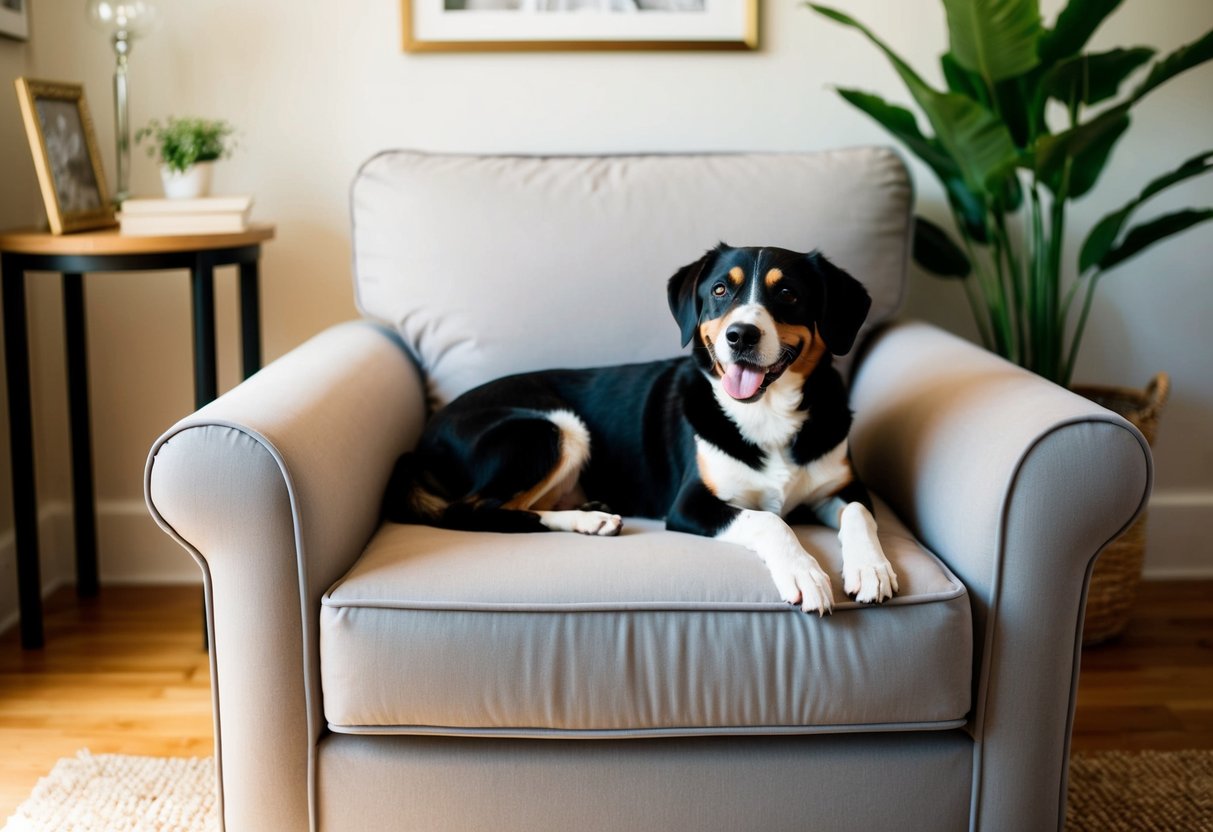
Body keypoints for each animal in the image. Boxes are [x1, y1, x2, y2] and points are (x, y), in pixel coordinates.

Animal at [383, 244, 897, 616]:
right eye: (719, 291)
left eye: (787, 293)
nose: (741, 336)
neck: (765, 414)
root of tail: (422, 441)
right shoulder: (690, 504)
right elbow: (769, 519)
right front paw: (804, 572)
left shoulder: (843, 484)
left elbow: (859, 514)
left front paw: (871, 567)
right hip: (554, 427)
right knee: (478, 511)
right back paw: (589, 520)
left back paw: (589, 511)